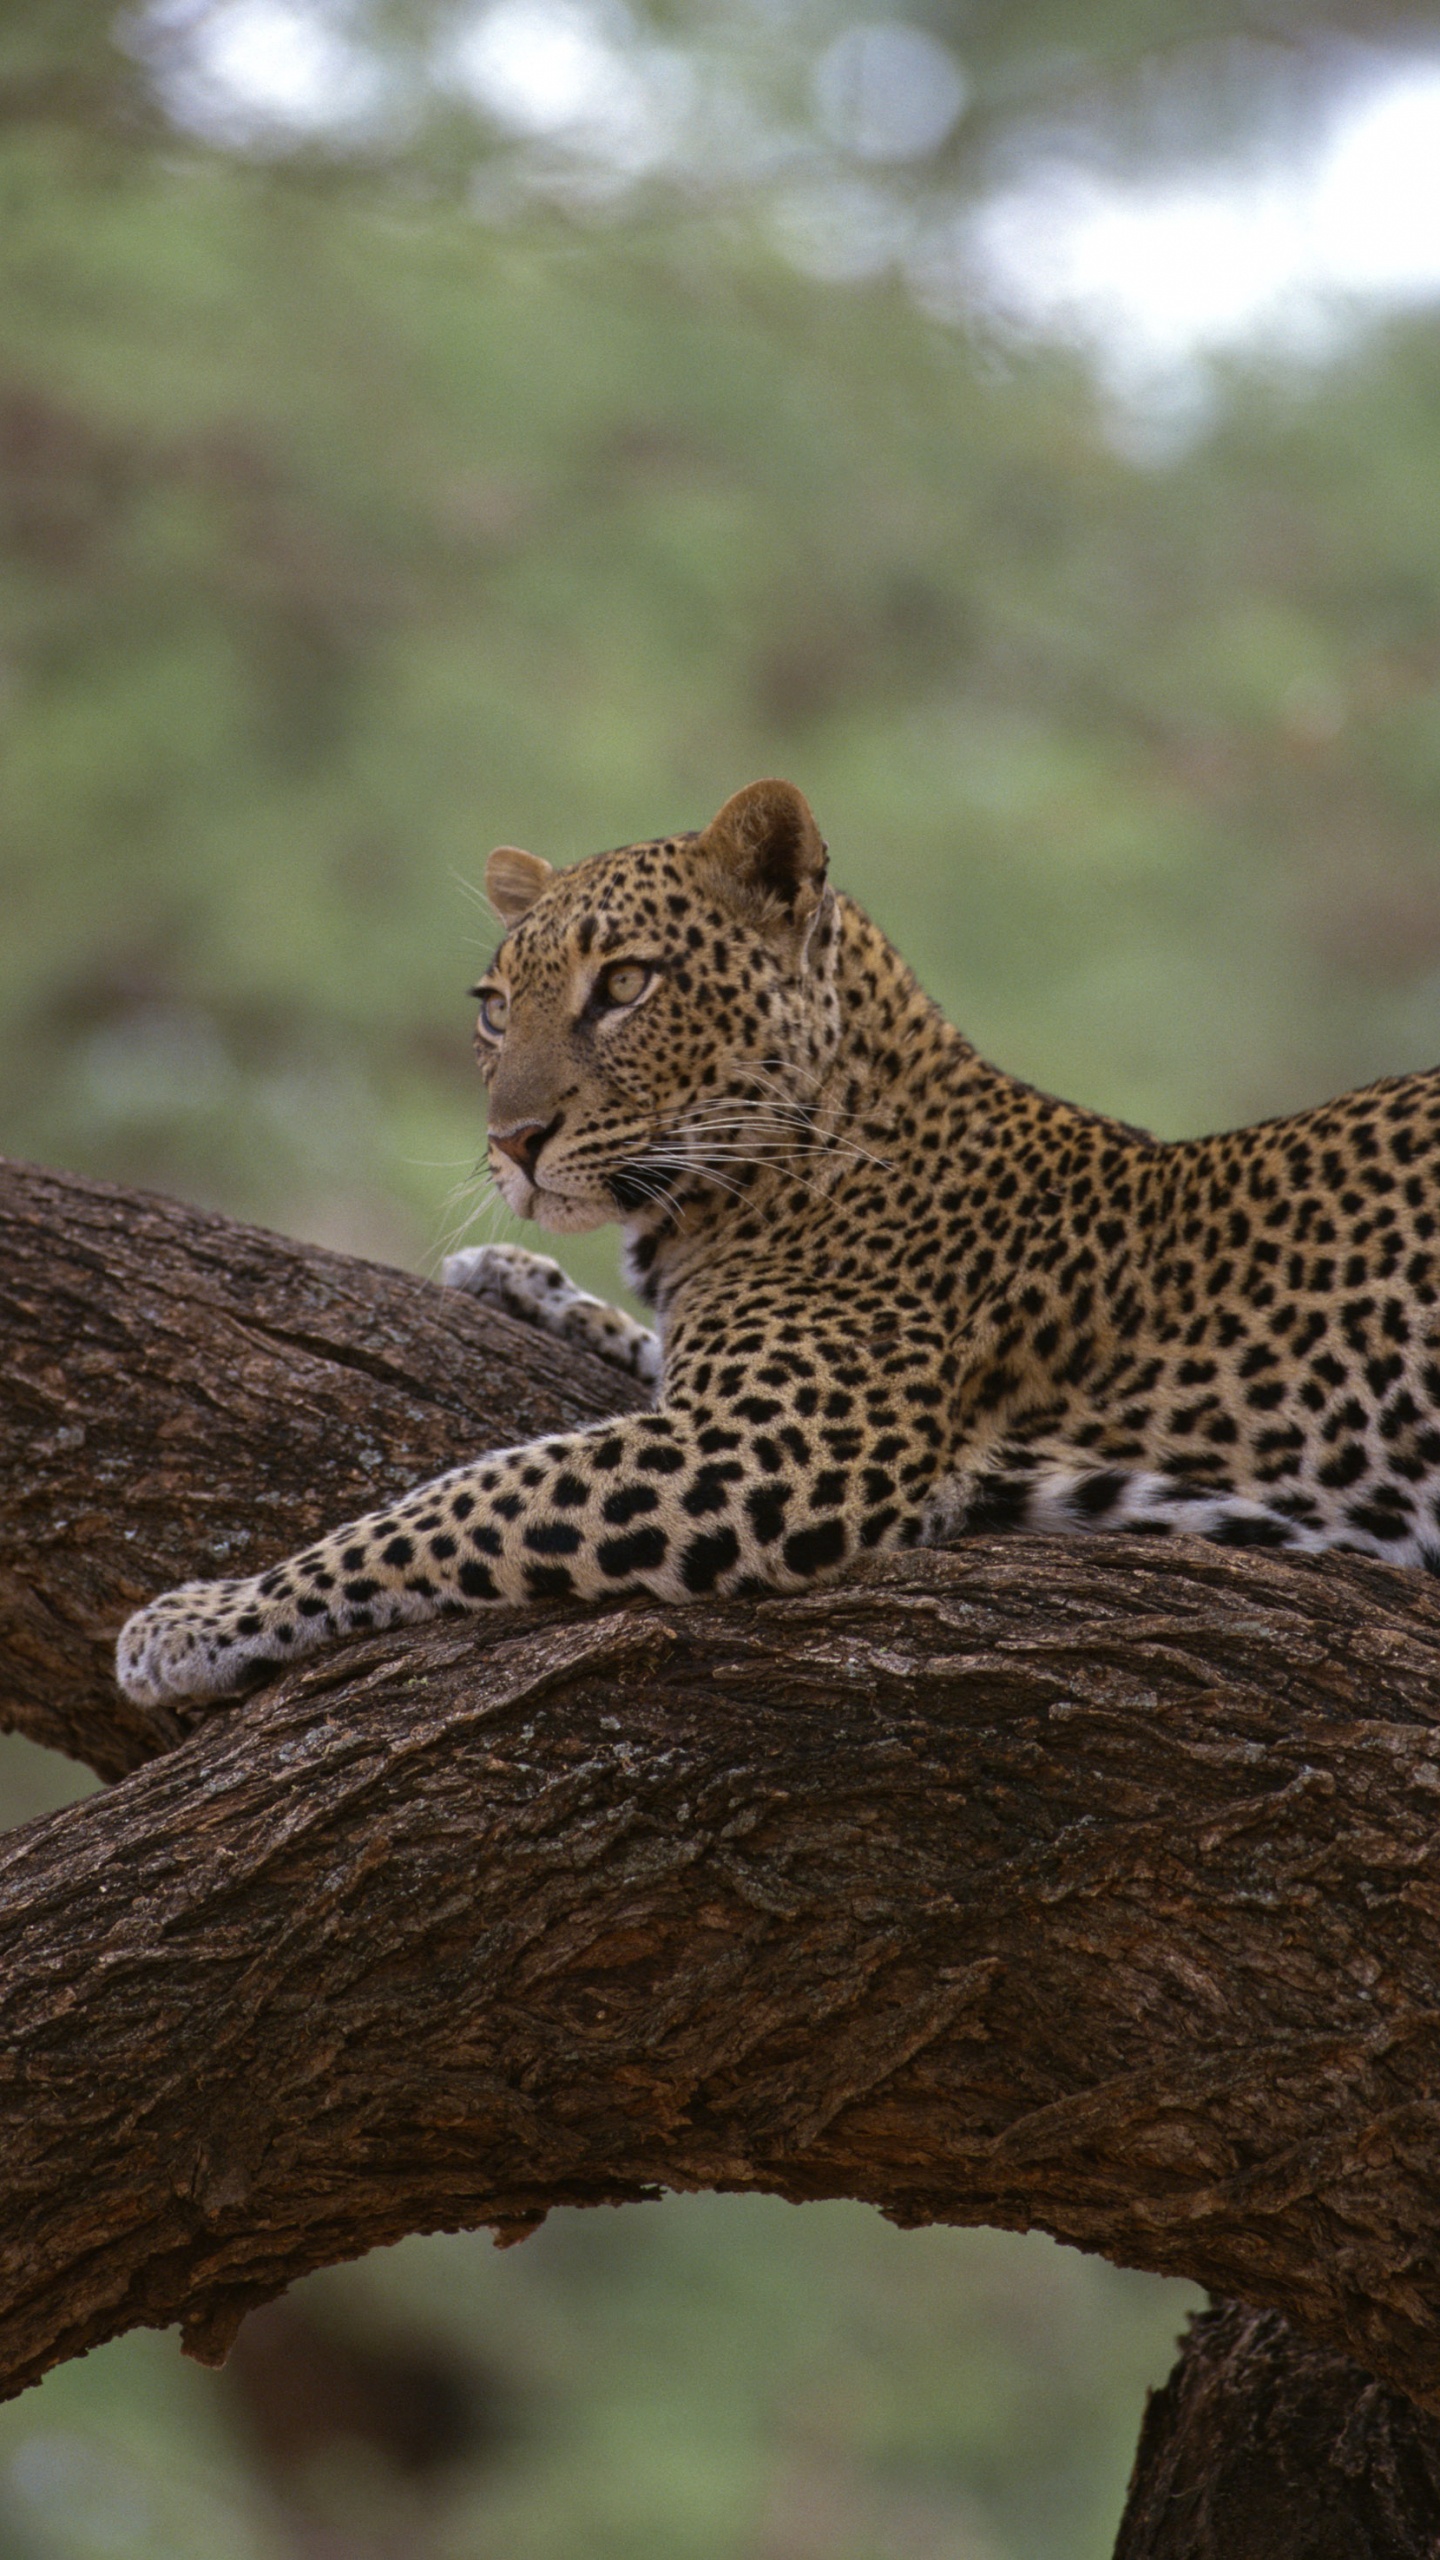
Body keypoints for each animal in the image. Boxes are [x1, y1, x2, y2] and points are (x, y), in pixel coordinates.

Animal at [117, 776, 1440, 1709]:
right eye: (494, 1008)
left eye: (626, 985)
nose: (512, 1142)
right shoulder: (721, 1393)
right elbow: (625, 1352)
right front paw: (514, 1279)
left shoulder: (771, 1446)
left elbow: (461, 1497)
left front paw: (201, 1619)